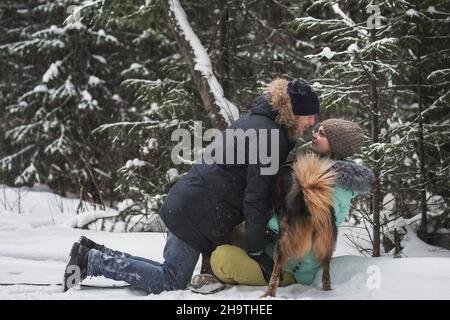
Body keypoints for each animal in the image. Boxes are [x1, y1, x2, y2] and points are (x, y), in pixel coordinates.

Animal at [260, 153, 338, 298]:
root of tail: (307, 208)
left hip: (281, 246)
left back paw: (268, 294)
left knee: (275, 275)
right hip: (326, 249)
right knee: (326, 274)